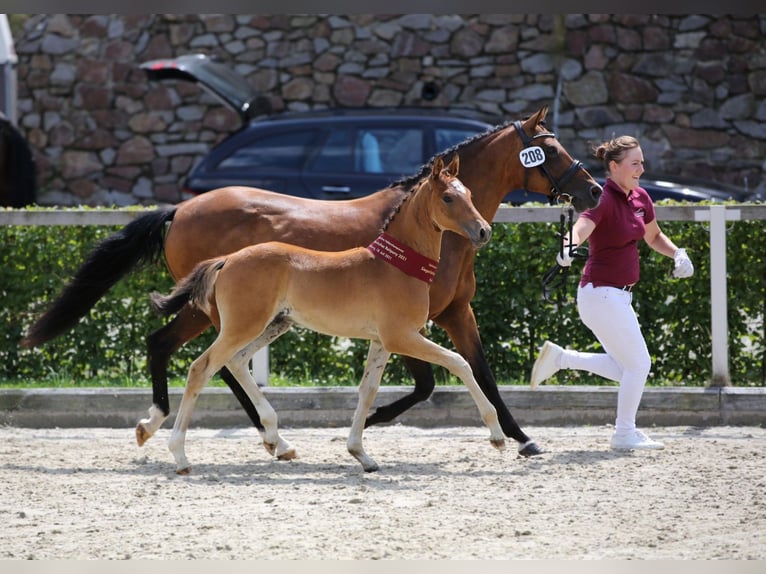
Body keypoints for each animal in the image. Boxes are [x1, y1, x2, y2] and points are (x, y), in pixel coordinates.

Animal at [152, 155, 504, 474]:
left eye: (470, 194)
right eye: (448, 198)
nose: (483, 231)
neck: (396, 266)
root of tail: (226, 260)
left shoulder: (382, 341)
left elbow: (367, 390)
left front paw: (361, 454)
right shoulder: (402, 336)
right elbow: (460, 363)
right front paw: (498, 436)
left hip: (272, 325)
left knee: (235, 363)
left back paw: (273, 439)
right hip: (242, 326)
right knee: (201, 368)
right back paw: (180, 455)